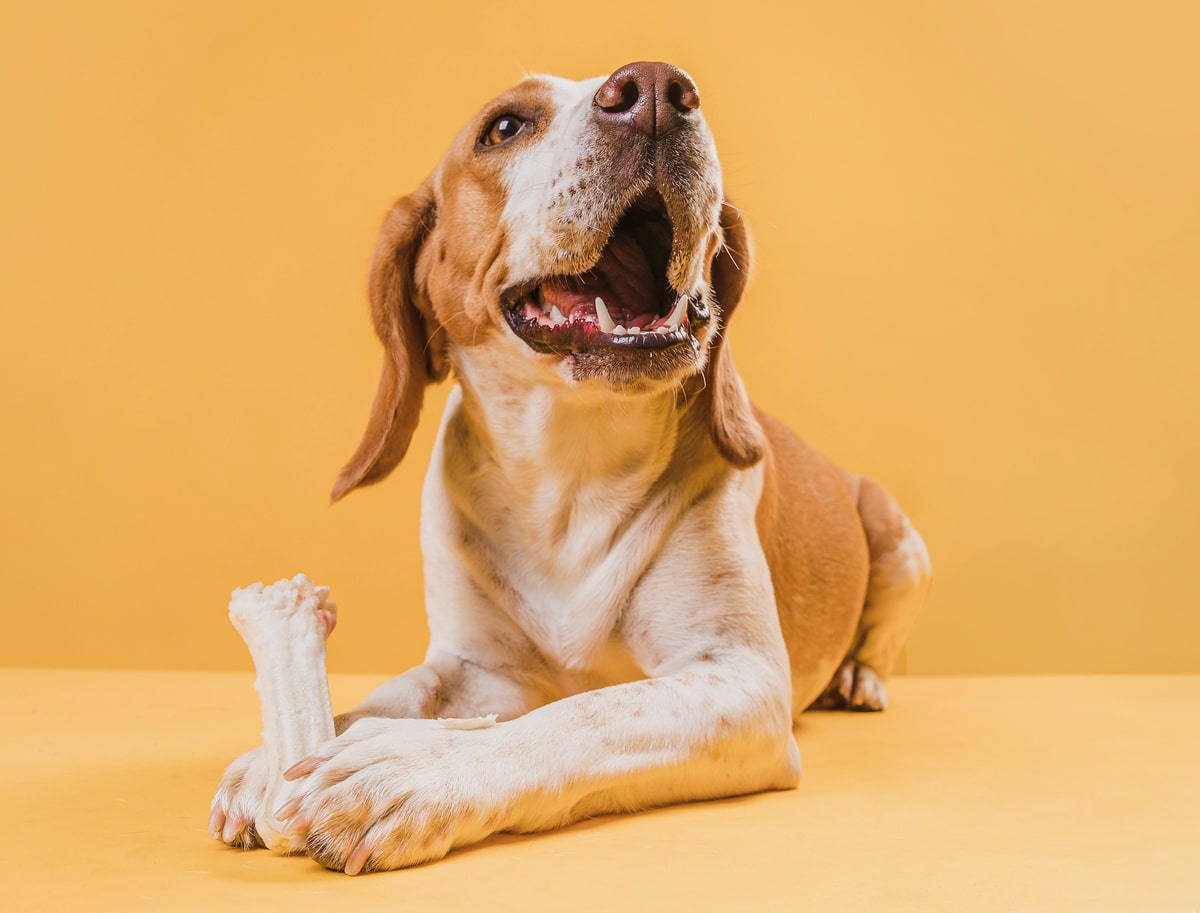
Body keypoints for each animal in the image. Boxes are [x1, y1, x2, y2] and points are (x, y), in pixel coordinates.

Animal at [211, 60, 931, 873]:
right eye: (503, 127)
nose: (657, 88)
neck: (569, 473)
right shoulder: (474, 669)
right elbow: (386, 695)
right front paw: (275, 754)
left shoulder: (738, 680)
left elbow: (585, 711)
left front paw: (414, 767)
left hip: (898, 537)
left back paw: (859, 676)